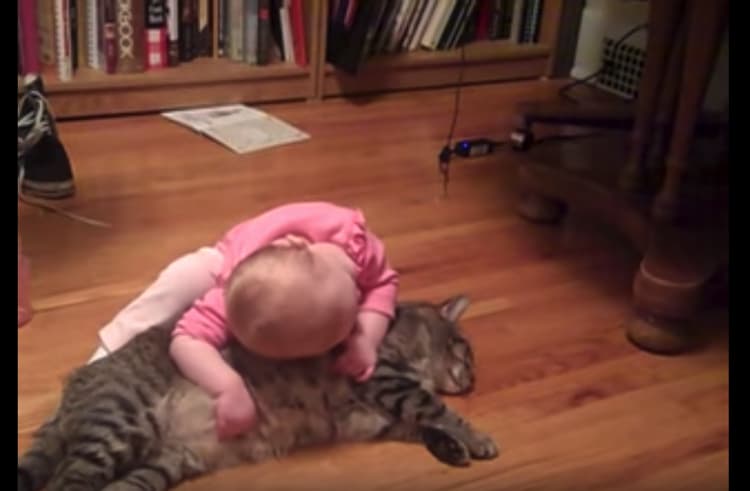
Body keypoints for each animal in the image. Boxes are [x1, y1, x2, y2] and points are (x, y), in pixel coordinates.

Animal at [17, 295, 498, 491]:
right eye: (466, 347)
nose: (475, 378)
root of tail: (77, 382)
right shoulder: (383, 377)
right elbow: (436, 410)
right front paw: (477, 438)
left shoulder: (372, 419)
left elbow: (424, 426)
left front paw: (453, 447)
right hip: (121, 424)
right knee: (68, 480)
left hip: (161, 463)